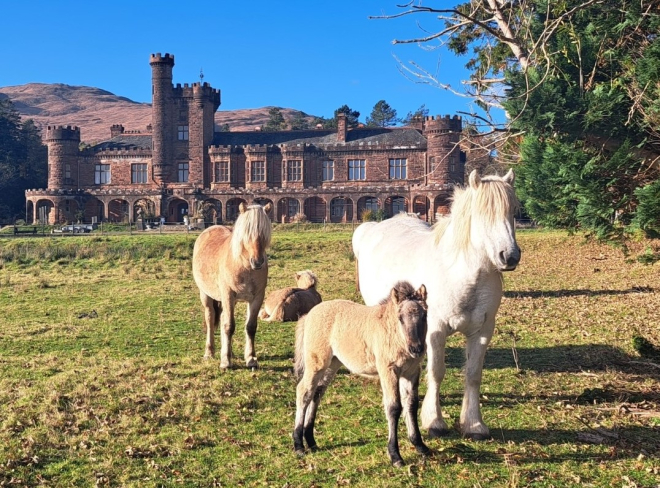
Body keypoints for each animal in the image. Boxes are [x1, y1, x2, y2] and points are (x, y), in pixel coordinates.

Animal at [192, 202, 272, 370]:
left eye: (264, 234)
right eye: (246, 233)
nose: (257, 262)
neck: (243, 266)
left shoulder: (257, 297)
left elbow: (250, 327)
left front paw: (251, 359)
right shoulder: (228, 295)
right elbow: (229, 326)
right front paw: (226, 363)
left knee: (222, 318)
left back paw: (229, 352)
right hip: (206, 295)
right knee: (210, 319)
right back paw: (210, 352)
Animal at [292, 280, 428, 468]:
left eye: (424, 316)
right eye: (400, 318)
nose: (416, 349)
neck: (393, 334)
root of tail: (308, 315)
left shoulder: (412, 372)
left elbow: (411, 404)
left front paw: (419, 445)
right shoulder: (388, 370)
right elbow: (393, 407)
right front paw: (395, 455)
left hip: (333, 364)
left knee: (316, 393)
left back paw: (311, 440)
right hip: (317, 362)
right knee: (304, 392)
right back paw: (298, 444)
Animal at [350, 170, 520, 440]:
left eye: (514, 209)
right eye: (483, 213)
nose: (510, 256)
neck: (461, 274)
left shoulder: (482, 332)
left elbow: (473, 374)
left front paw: (474, 424)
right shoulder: (435, 331)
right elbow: (437, 372)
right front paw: (434, 420)